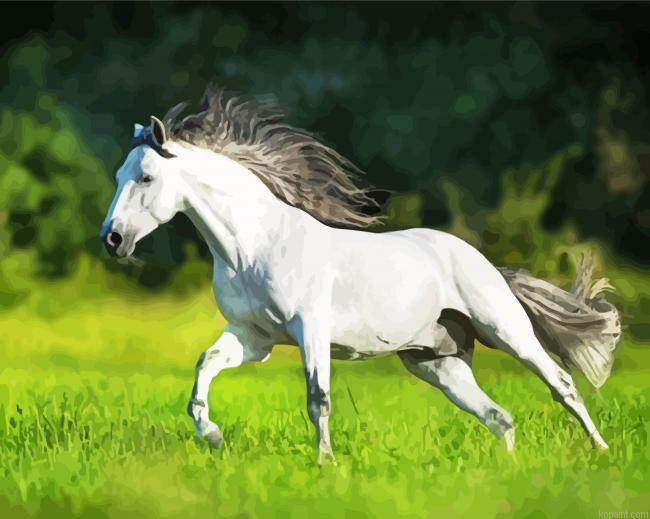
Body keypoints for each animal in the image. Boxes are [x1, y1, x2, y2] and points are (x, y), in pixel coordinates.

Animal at [99, 85, 621, 464]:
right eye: (120, 175)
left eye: (146, 178)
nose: (113, 239)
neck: (253, 248)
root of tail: (485, 261)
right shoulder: (254, 337)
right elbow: (204, 366)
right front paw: (211, 435)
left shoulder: (310, 329)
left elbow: (318, 398)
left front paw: (325, 463)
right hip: (437, 363)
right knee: (500, 417)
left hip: (507, 331)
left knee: (562, 384)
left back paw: (601, 452)